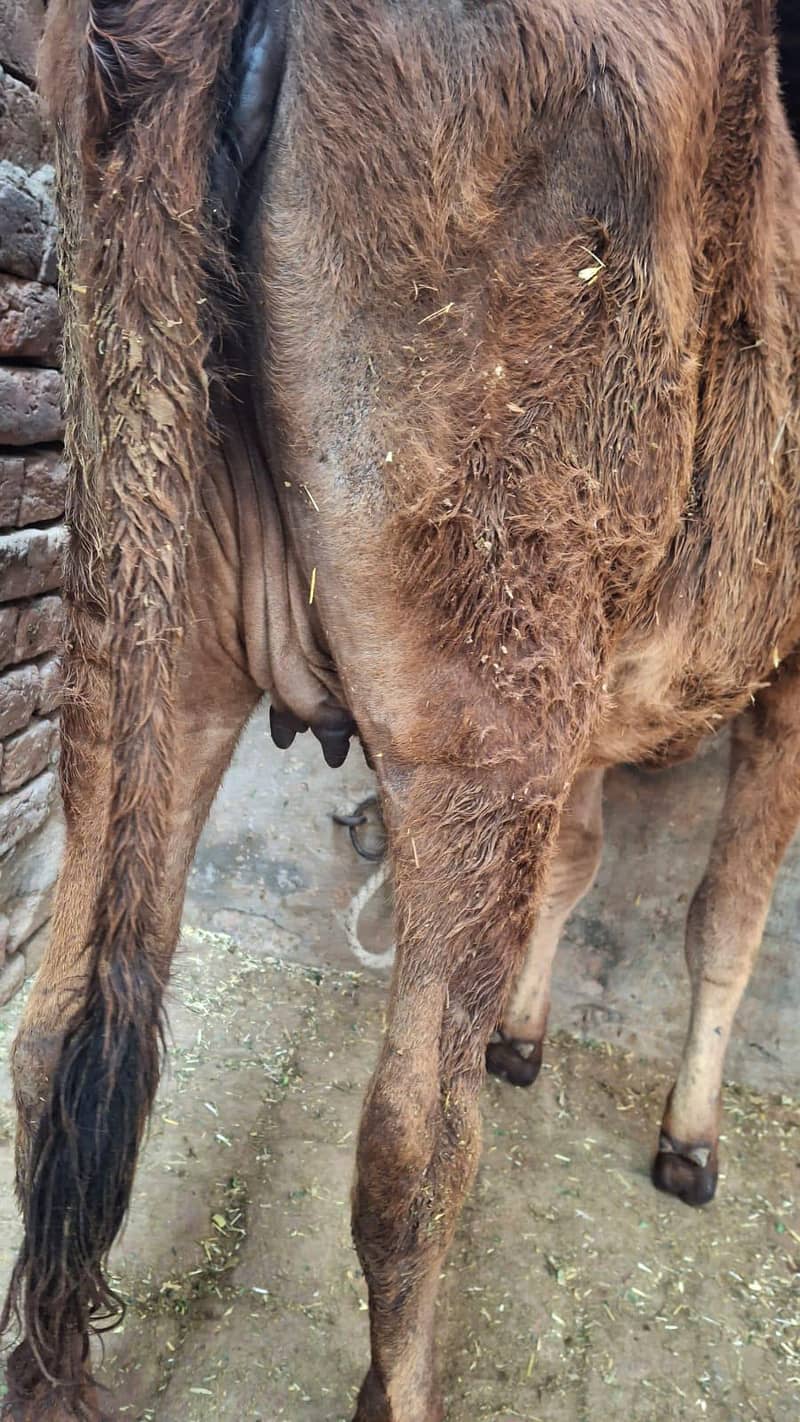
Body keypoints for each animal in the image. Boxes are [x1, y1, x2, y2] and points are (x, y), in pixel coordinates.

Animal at [2, 1, 798, 1419]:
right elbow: (725, 916)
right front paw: (688, 1143)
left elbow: (582, 860)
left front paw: (528, 1034)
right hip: (486, 699)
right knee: (411, 1143)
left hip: (144, 623)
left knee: (56, 1041)